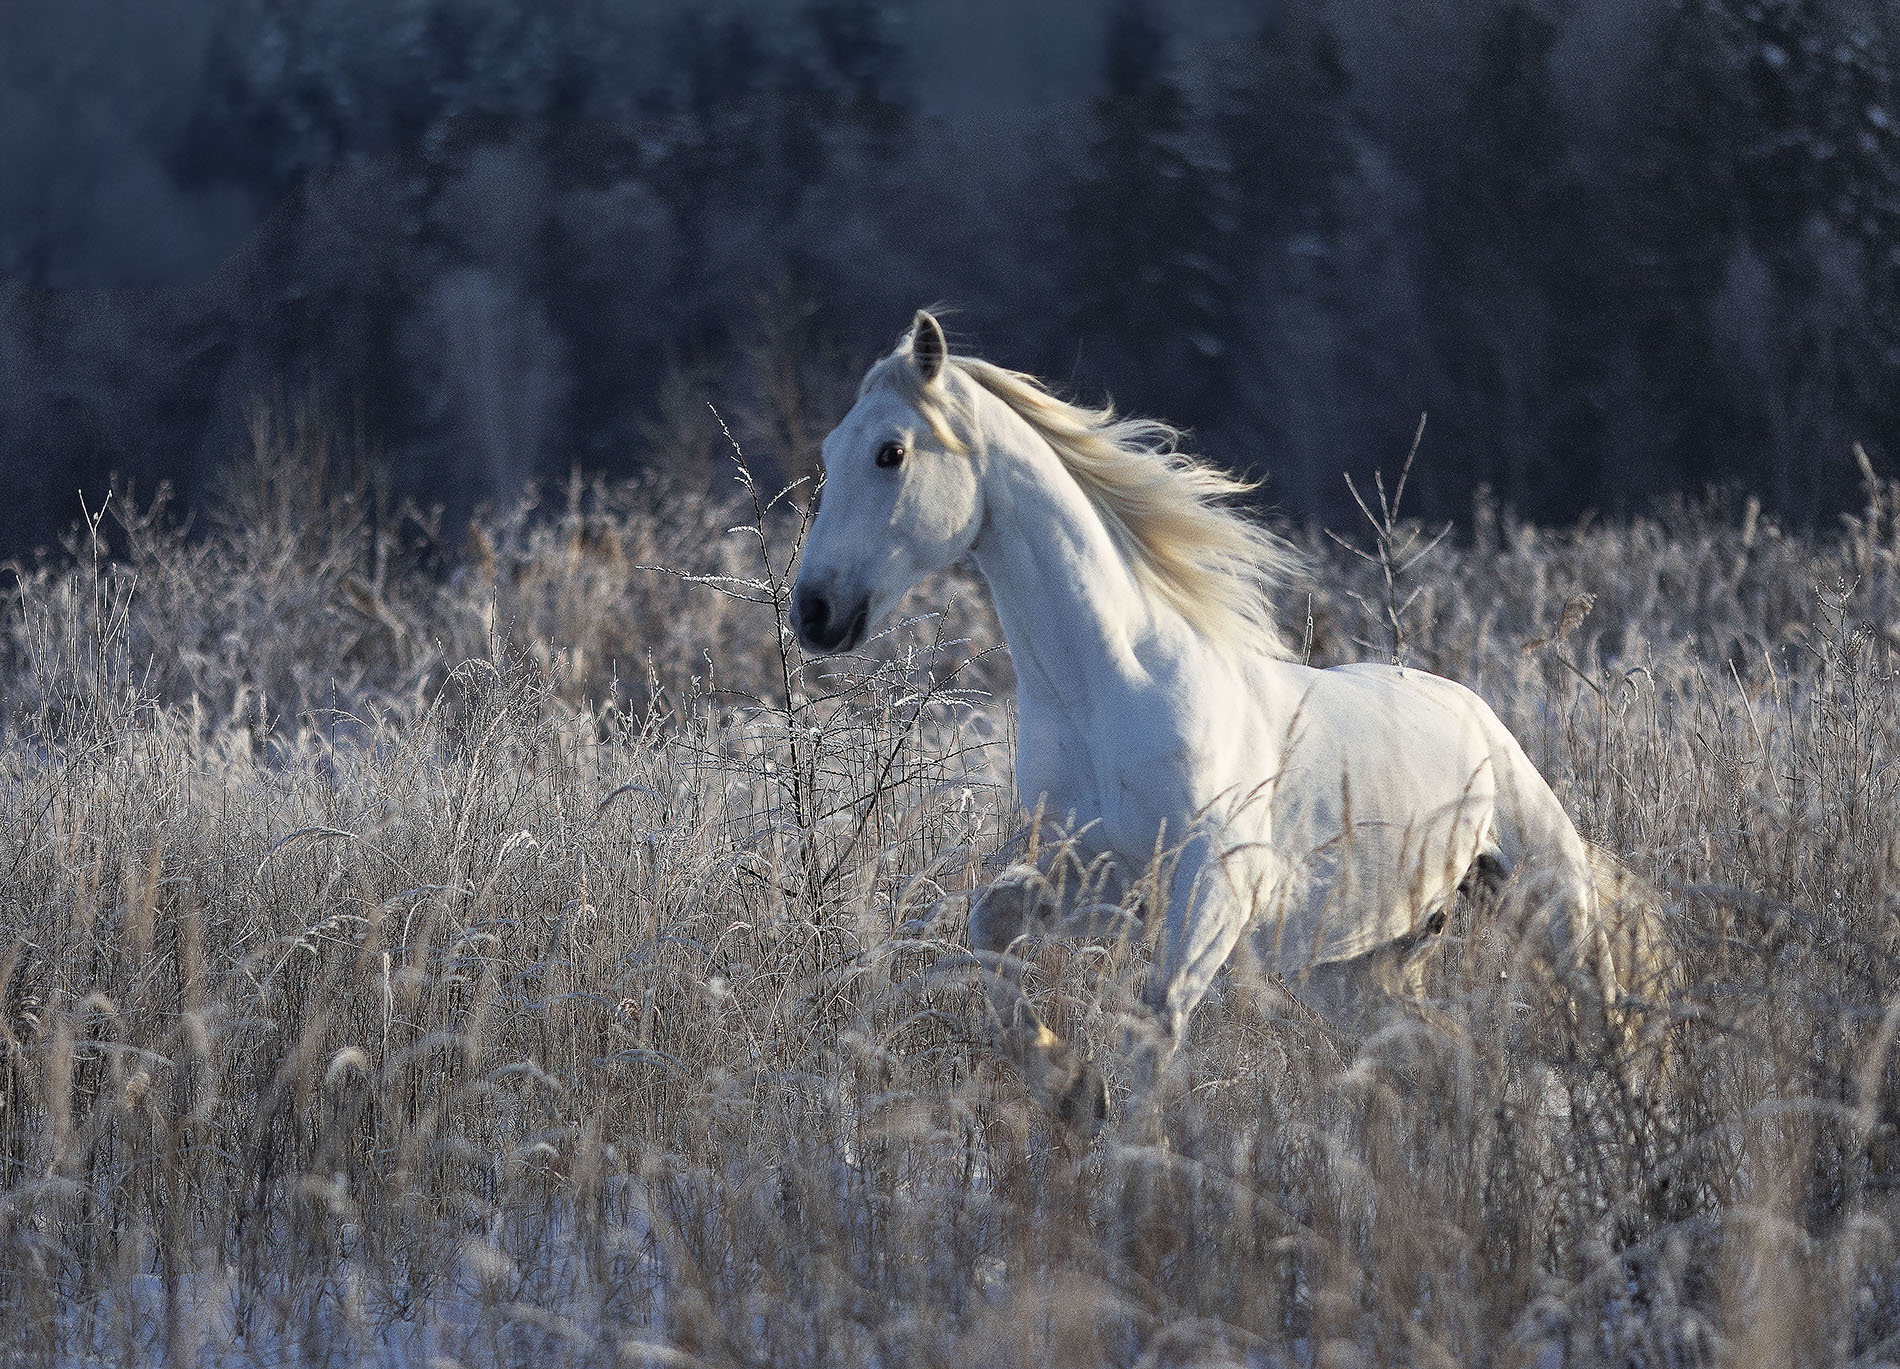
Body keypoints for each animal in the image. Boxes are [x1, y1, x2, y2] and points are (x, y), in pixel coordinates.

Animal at [791, 310, 1626, 1132]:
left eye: (891, 452)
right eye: (829, 450)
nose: (813, 611)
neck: (1106, 691)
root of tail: (1476, 712)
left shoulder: (1213, 886)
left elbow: (1155, 1022)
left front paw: (1123, 1148)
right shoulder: (1090, 869)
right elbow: (986, 929)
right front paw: (1071, 1086)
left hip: (1555, 910)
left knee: (1605, 1028)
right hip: (1351, 968)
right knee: (1456, 1059)